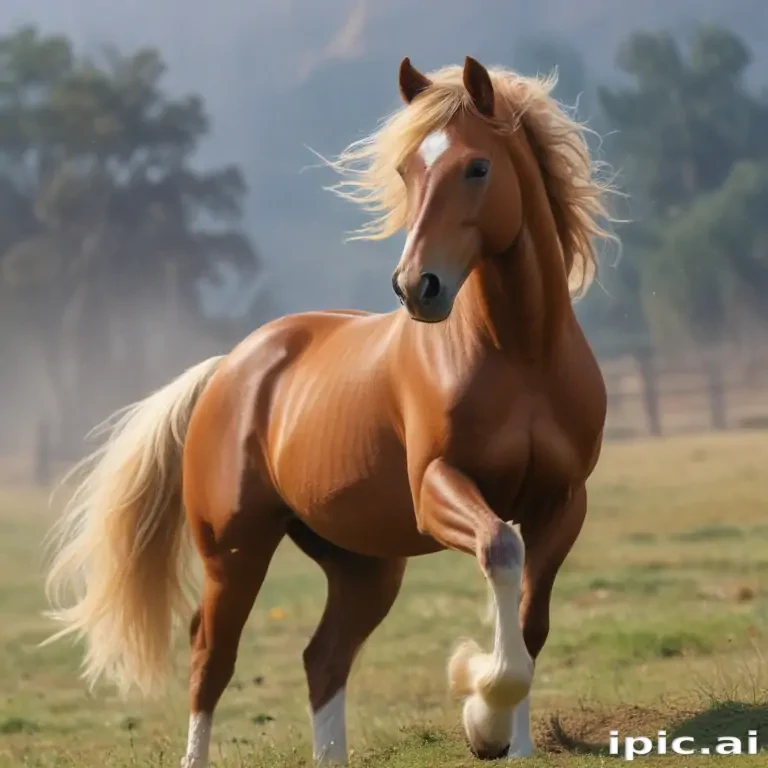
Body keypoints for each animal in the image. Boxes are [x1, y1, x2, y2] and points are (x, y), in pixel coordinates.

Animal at [43, 56, 615, 766]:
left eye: (477, 167)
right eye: (405, 171)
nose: (416, 286)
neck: (521, 355)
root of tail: (230, 368)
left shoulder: (562, 502)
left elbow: (532, 620)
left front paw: (515, 740)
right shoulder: (439, 489)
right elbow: (500, 553)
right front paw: (482, 712)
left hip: (363, 565)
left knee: (324, 657)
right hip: (234, 551)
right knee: (211, 656)